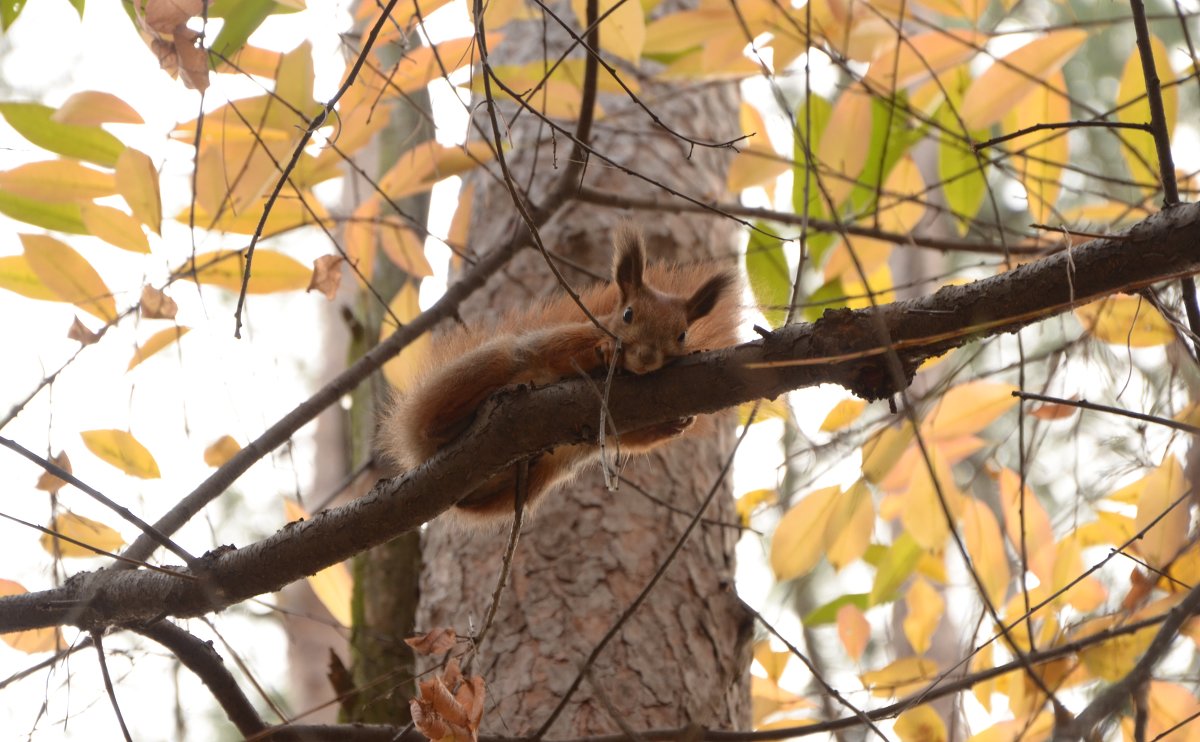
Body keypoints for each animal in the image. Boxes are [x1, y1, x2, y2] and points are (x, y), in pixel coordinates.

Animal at [384, 225, 739, 521]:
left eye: (681, 335)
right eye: (628, 314)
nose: (647, 357)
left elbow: (628, 439)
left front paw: (674, 424)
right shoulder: (563, 340)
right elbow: (562, 355)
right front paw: (602, 352)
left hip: (532, 482)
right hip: (487, 366)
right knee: (436, 423)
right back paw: (451, 421)